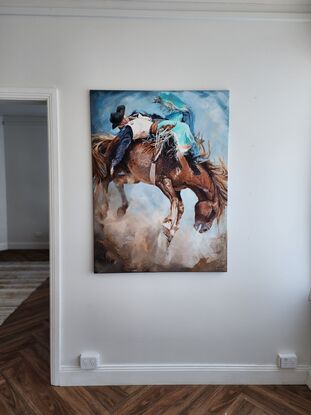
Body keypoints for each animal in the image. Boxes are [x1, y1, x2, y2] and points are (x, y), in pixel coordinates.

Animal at [91, 133, 228, 244]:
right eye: (214, 211)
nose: (204, 229)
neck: (186, 167)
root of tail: (113, 139)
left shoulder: (177, 189)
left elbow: (180, 206)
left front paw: (171, 232)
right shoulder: (163, 182)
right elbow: (175, 202)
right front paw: (167, 224)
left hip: (133, 175)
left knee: (117, 181)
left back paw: (121, 210)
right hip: (116, 167)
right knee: (104, 180)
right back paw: (102, 211)